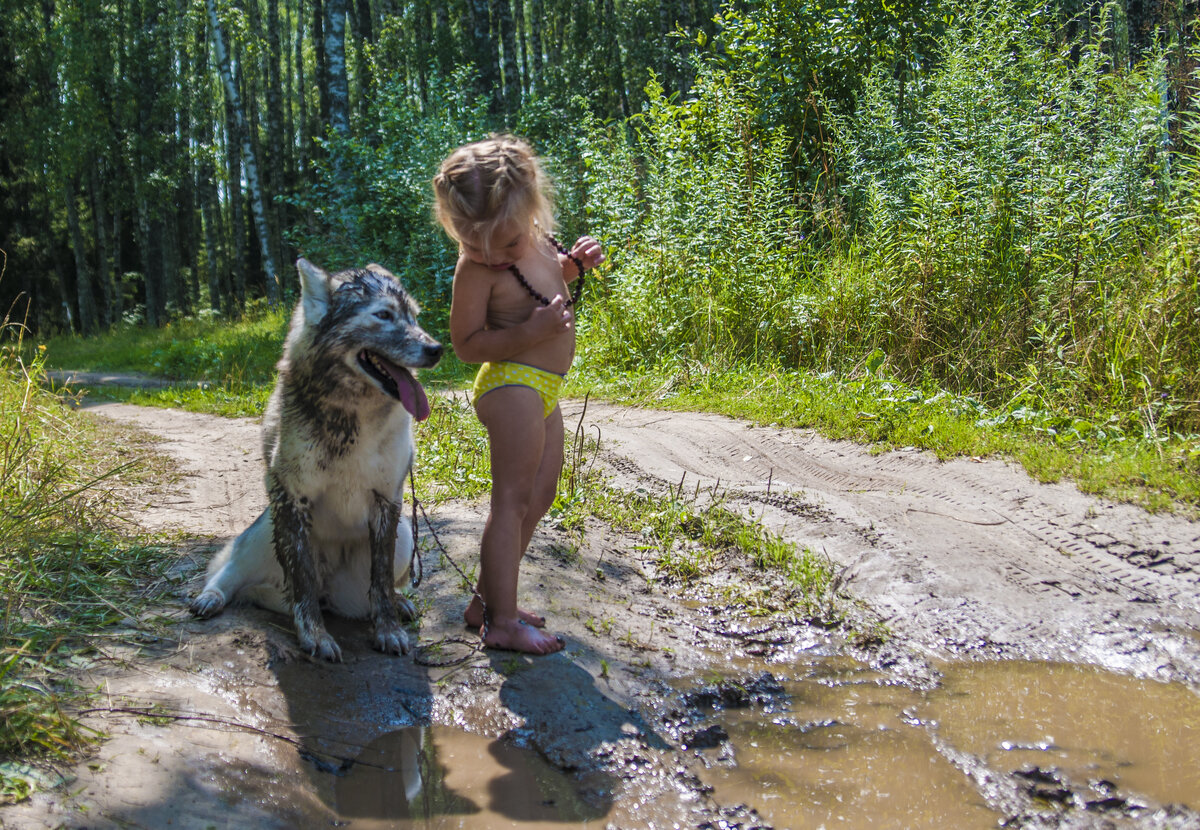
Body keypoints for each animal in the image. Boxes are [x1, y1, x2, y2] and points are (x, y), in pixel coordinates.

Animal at [190, 259, 441, 662]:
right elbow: (302, 582)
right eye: (384, 315)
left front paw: (388, 629)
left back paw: (400, 603)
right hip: (264, 532)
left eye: (414, 317)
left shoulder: (387, 503)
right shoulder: (291, 499)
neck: (351, 418)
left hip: (402, 538)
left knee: (374, 593)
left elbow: (382, 582)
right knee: (229, 573)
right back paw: (210, 598)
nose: (437, 349)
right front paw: (315, 636)